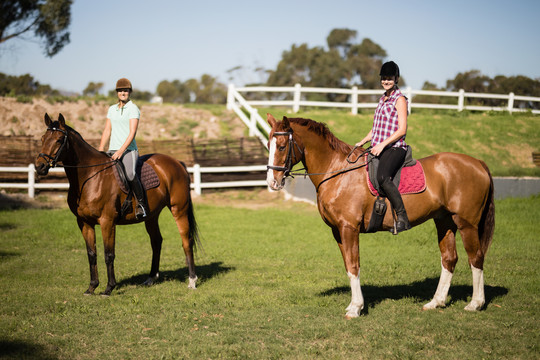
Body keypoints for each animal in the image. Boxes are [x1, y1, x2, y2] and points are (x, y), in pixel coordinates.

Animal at [35, 114, 200, 296]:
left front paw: (109, 288)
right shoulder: (84, 222)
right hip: (151, 216)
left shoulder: (107, 221)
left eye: (58, 140)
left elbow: (109, 254)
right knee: (156, 241)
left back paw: (192, 280)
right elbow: (91, 254)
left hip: (179, 210)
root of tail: (177, 162)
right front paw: (91, 287)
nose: (40, 166)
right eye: (42, 139)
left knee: (186, 240)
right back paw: (151, 278)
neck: (91, 177)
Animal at [266, 114, 494, 320]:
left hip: (466, 224)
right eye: (269, 145)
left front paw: (355, 308)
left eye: (282, 147)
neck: (338, 171)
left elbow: (354, 265)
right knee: (449, 258)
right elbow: (348, 266)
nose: (272, 182)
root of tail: (478, 162)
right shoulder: (337, 231)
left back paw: (475, 303)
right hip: (444, 221)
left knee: (476, 257)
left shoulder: (349, 228)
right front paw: (354, 304)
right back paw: (436, 302)